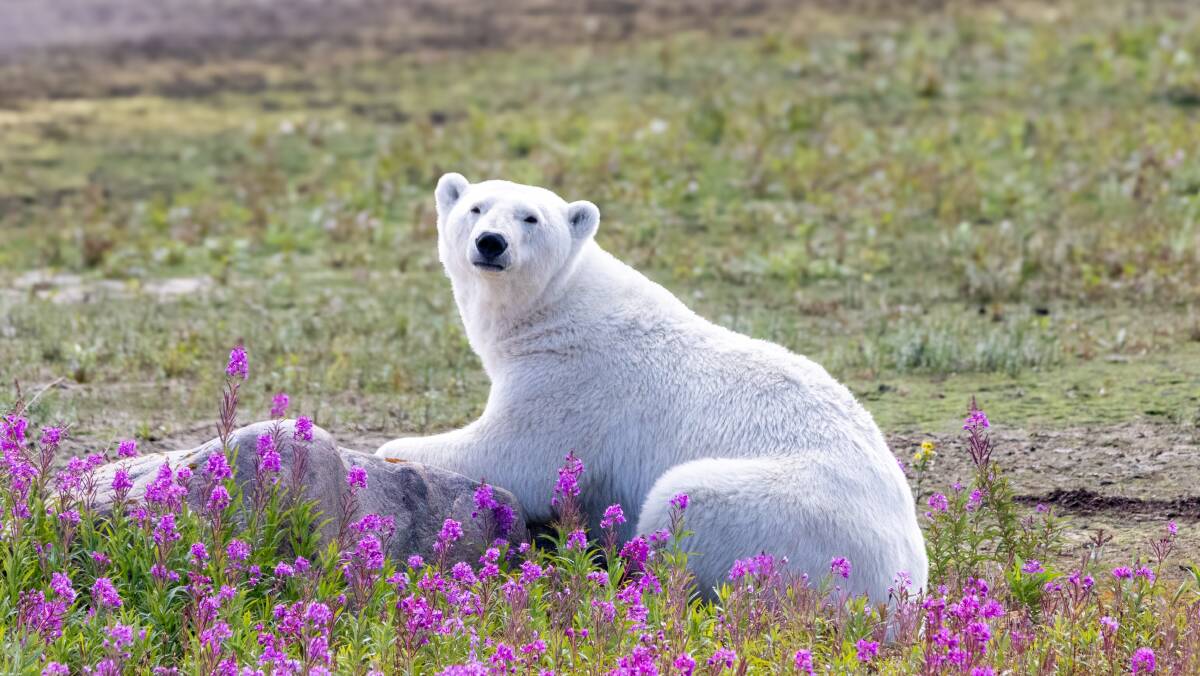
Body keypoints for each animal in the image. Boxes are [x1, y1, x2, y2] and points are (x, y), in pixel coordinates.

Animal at [377, 173, 927, 603]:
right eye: (475, 207)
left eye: (531, 218)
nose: (491, 242)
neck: (556, 307)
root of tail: (904, 587)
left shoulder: (571, 379)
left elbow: (514, 456)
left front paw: (394, 451)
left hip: (791, 516)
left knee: (684, 500)